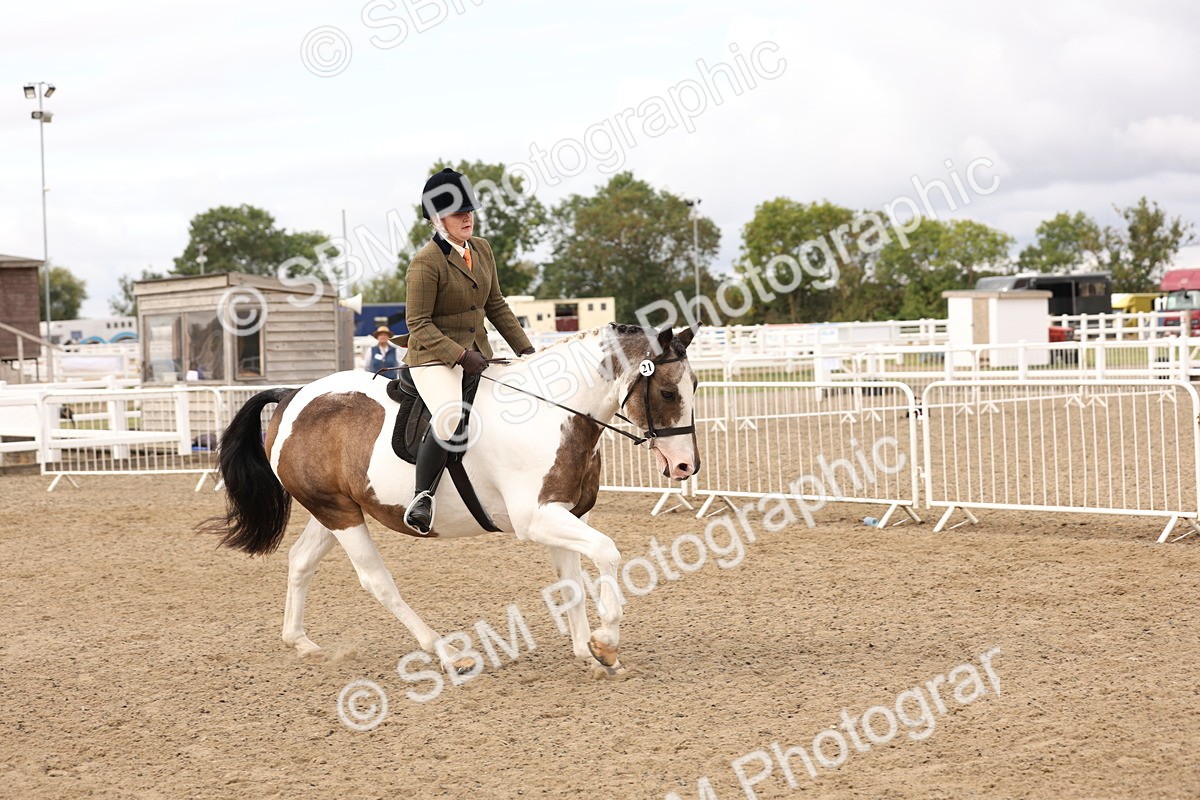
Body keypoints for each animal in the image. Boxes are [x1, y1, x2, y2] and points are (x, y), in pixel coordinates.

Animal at [202, 323, 699, 677]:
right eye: (667, 392)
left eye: (695, 388)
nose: (684, 467)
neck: (551, 412)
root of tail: (292, 395)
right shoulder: (536, 518)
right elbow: (608, 552)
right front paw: (607, 642)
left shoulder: (561, 513)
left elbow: (572, 582)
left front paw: (588, 651)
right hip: (338, 513)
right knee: (377, 581)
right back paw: (445, 653)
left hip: (336, 510)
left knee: (302, 561)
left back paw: (300, 642)